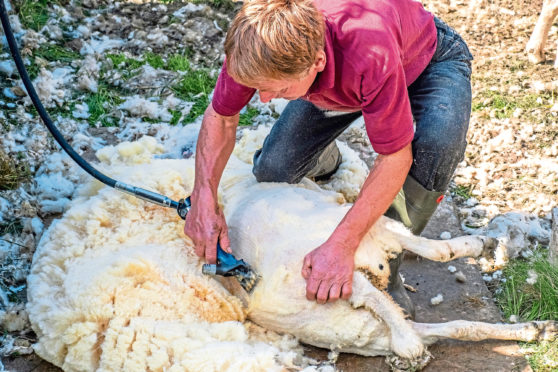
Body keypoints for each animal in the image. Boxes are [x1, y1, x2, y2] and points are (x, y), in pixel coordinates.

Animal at [27, 137, 558, 372]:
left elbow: (426, 261)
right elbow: (396, 284)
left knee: (421, 286)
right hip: (329, 280)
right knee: (398, 295)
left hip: (342, 270)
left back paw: (526, 322)